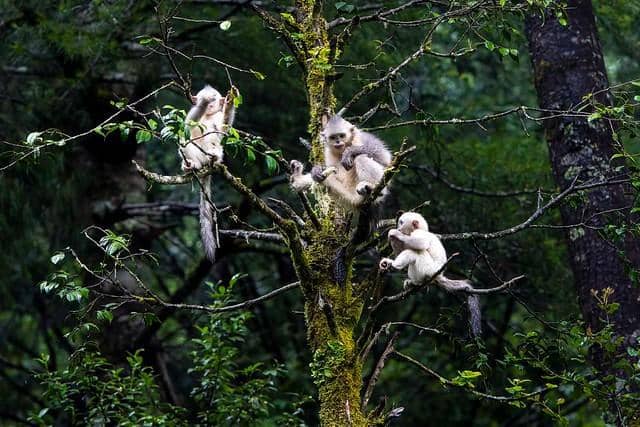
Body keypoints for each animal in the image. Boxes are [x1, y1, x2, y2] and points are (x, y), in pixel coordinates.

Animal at [179, 84, 236, 262]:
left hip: (212, 155)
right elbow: (185, 128)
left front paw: (230, 102)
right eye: (209, 99)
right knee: (185, 141)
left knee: (215, 142)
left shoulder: (218, 118)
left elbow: (223, 130)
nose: (210, 104)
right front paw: (202, 103)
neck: (208, 115)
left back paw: (214, 157)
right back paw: (190, 165)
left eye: (215, 98)